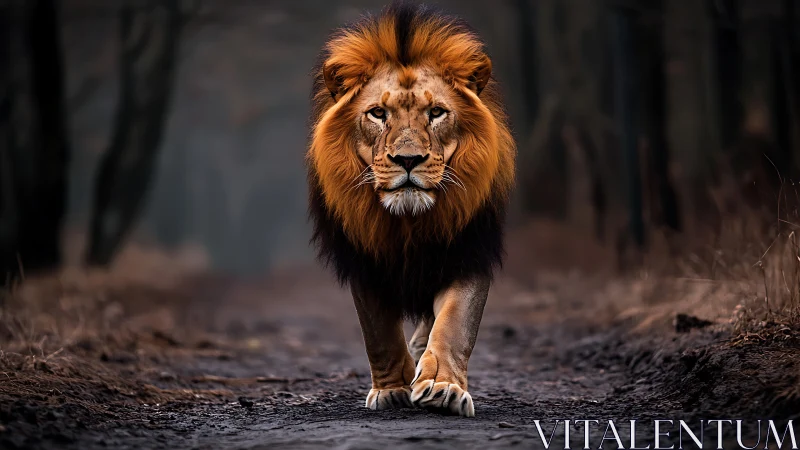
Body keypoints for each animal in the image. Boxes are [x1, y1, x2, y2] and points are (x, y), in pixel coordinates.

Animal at [307, 2, 515, 417]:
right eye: (377, 113)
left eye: (436, 112)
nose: (407, 160)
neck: (408, 222)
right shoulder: (365, 260)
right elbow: (379, 334)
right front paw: (392, 390)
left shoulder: (468, 250)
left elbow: (455, 324)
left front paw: (441, 387)